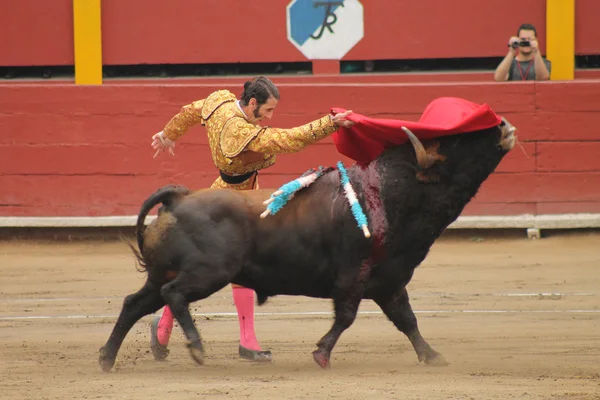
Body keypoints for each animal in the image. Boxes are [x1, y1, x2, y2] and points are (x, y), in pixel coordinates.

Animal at [97, 119, 516, 372]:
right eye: (456, 142)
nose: (503, 125)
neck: (386, 194)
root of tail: (179, 198)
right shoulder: (353, 277)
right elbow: (346, 317)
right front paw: (321, 354)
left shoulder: (390, 281)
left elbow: (407, 320)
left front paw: (432, 356)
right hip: (209, 272)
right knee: (174, 294)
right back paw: (197, 348)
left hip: (163, 273)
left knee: (135, 303)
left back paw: (107, 357)